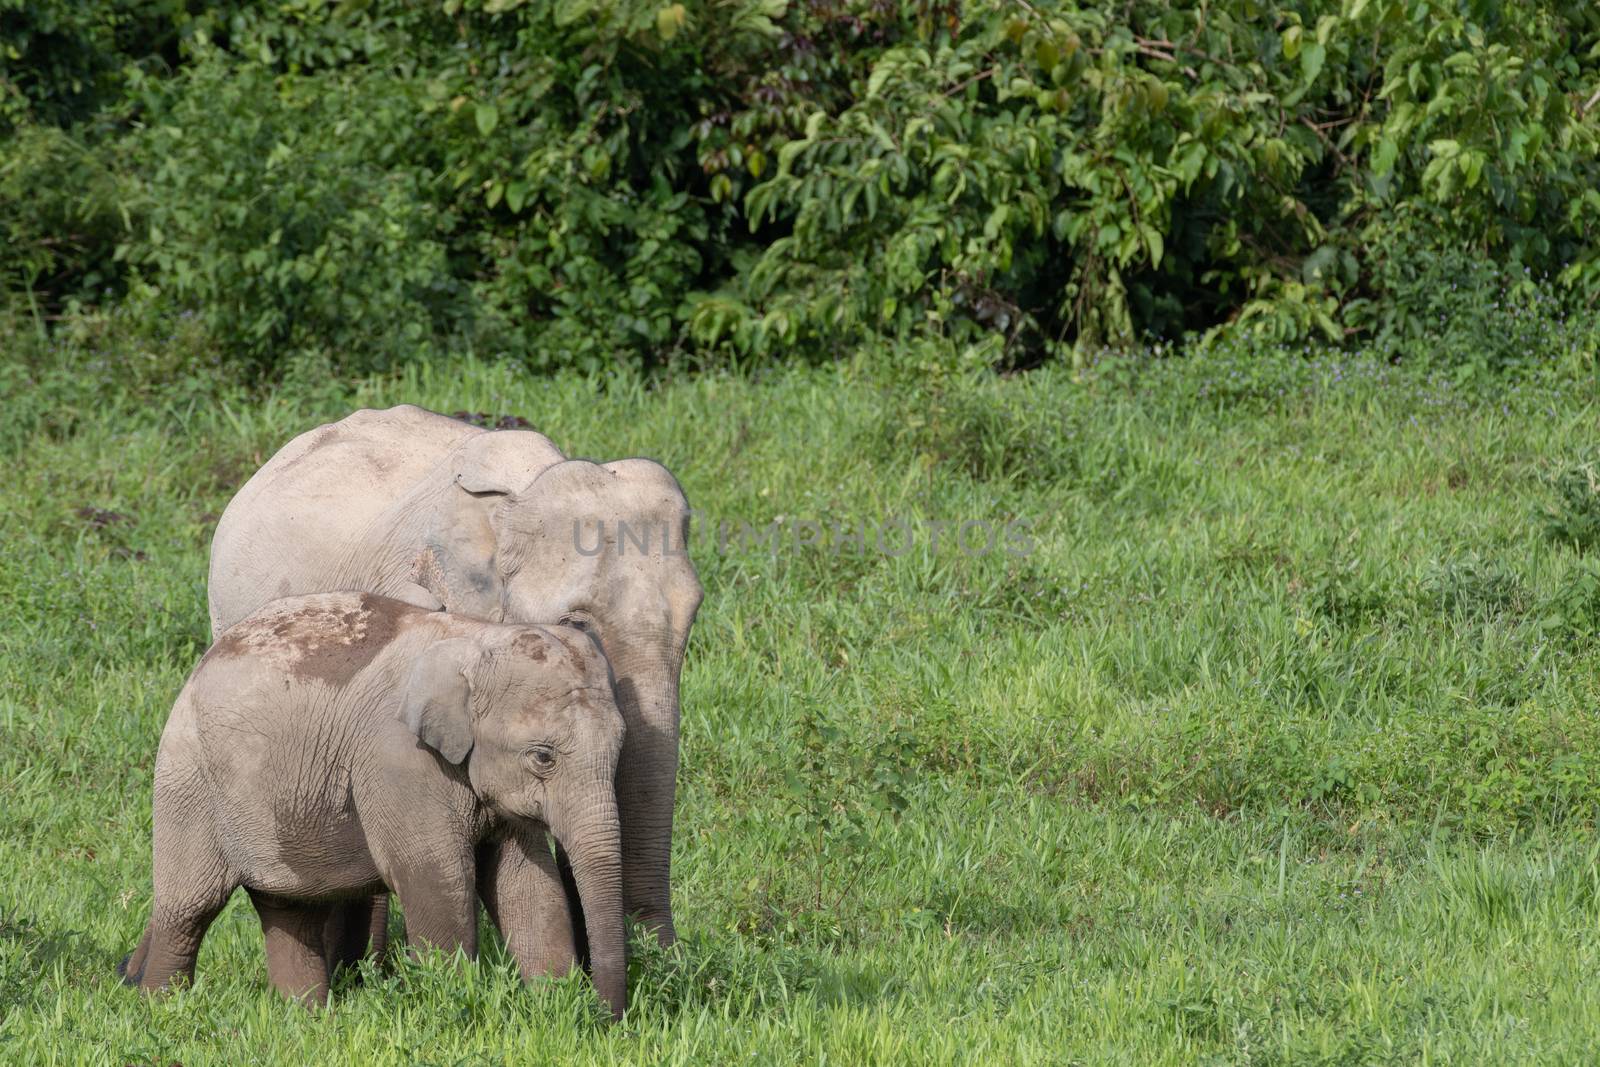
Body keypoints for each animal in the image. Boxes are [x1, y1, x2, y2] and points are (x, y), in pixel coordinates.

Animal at [118, 591, 627, 1017]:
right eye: (543, 757)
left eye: (622, 747)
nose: (609, 1019)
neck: (475, 638)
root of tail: (198, 667)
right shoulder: (398, 761)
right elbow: (436, 877)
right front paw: (452, 1010)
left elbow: (525, 883)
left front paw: (554, 1007)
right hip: (188, 780)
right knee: (190, 908)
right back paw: (164, 1011)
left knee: (289, 908)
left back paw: (306, 1020)